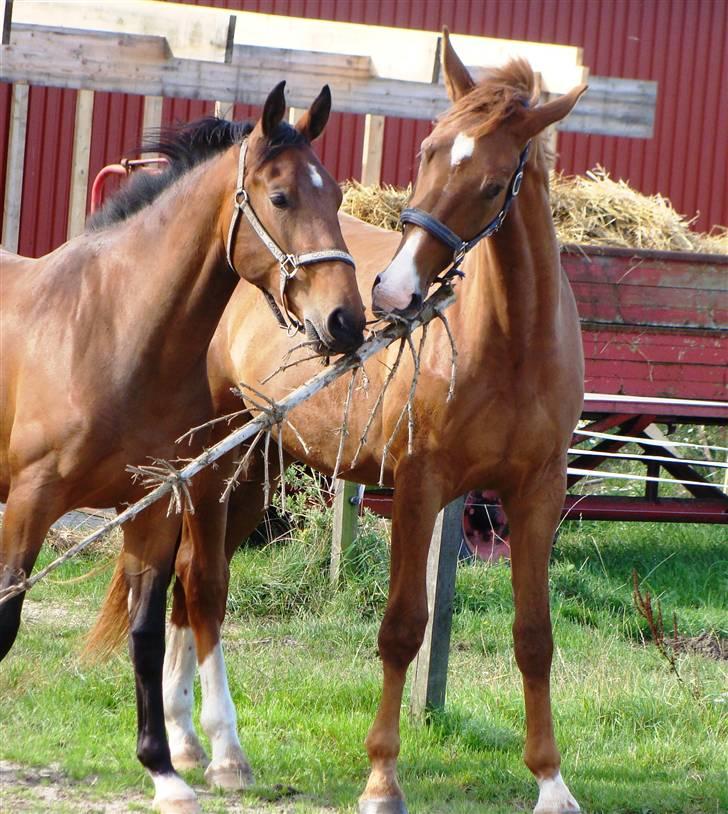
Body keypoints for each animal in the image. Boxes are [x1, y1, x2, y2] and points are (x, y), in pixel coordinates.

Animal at [0, 83, 364, 814]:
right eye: (280, 197)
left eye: (336, 194)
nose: (347, 321)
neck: (108, 330)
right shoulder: (31, 502)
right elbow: (7, 616)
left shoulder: (154, 507)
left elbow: (146, 629)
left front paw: (165, 768)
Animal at [94, 31, 588, 814]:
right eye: (427, 151)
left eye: (491, 182)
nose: (391, 292)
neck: (512, 343)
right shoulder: (419, 489)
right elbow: (403, 629)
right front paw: (382, 779)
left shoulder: (537, 494)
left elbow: (534, 636)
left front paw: (550, 781)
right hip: (209, 468)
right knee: (202, 587)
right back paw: (209, 748)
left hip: (257, 467)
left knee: (185, 591)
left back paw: (189, 743)